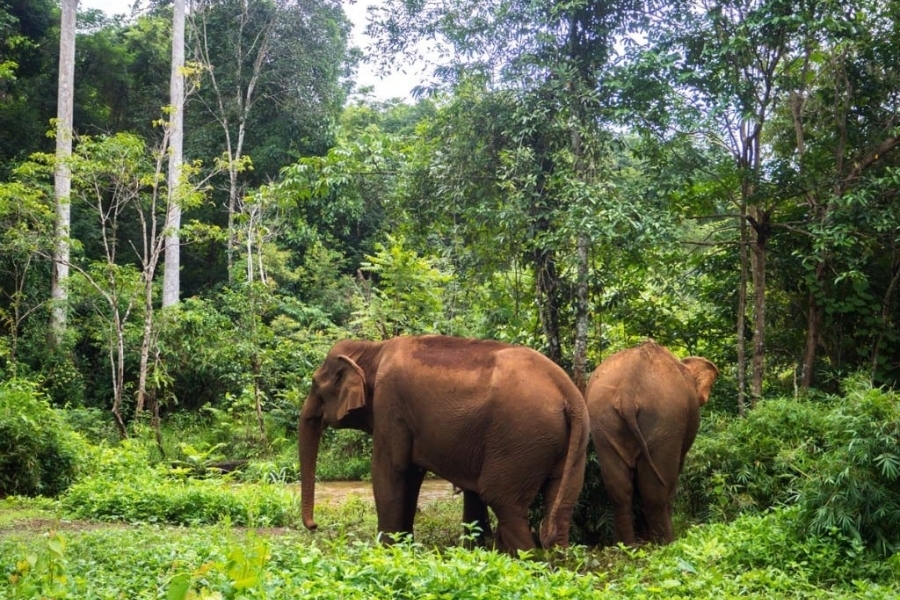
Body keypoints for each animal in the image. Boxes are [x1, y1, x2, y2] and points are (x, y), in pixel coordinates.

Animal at [298, 334, 590, 553]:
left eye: (314, 384)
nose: (314, 526)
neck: (372, 349)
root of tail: (568, 392)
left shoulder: (390, 405)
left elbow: (389, 473)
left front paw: (385, 553)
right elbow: (411, 475)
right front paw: (404, 548)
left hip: (521, 437)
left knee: (503, 500)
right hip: (569, 445)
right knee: (560, 507)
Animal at [585, 340, 718, 546]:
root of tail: (628, 391)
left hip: (602, 422)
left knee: (619, 489)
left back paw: (626, 545)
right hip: (665, 421)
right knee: (656, 489)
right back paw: (666, 543)